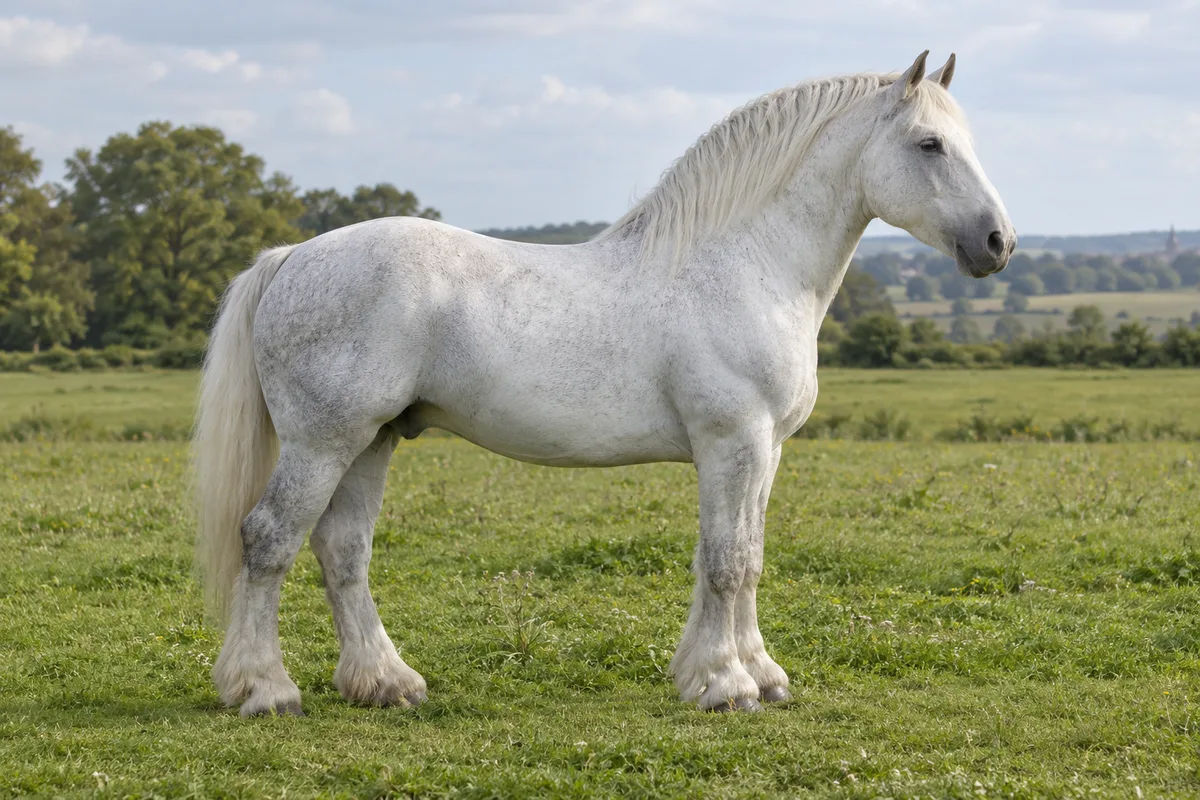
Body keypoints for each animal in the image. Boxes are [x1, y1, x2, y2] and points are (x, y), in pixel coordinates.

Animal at [194, 51, 1014, 716]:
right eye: (930, 144)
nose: (998, 242)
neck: (748, 264)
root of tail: (293, 257)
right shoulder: (734, 441)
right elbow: (728, 562)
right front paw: (727, 686)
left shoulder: (764, 450)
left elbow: (742, 558)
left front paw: (752, 675)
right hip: (322, 442)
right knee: (269, 540)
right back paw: (264, 689)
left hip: (371, 442)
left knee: (343, 551)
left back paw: (385, 683)